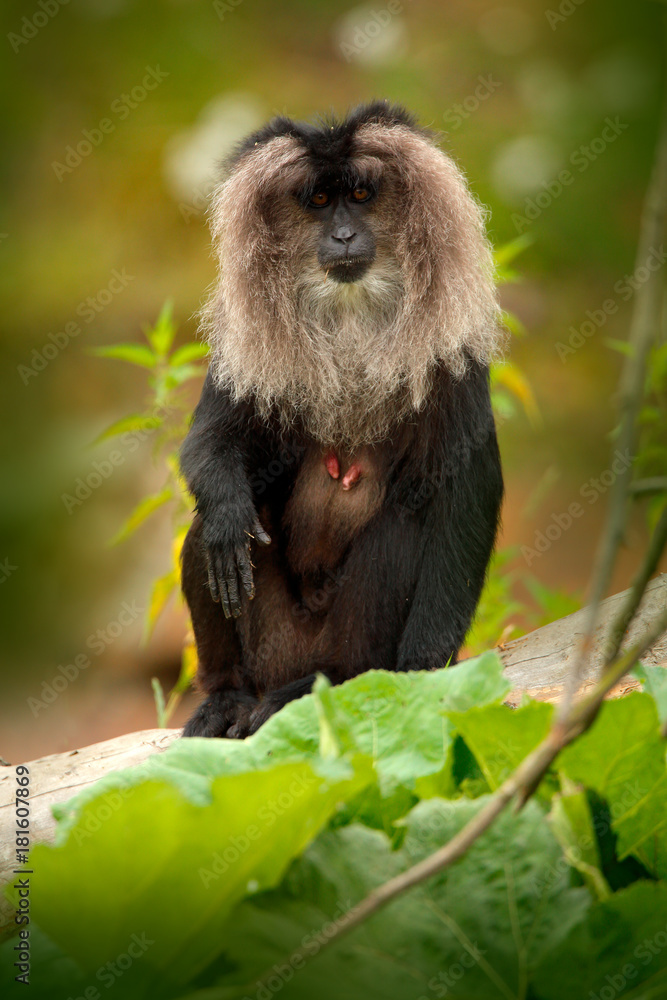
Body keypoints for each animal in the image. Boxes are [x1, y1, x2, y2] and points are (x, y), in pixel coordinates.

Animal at [180, 100, 504, 739]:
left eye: (359, 194)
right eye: (320, 202)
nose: (345, 235)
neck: (352, 318)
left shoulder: (458, 350)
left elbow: (466, 492)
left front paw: (424, 668)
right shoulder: (242, 345)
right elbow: (211, 440)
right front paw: (228, 510)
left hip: (345, 641)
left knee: (404, 530)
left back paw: (321, 685)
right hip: (273, 645)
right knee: (206, 535)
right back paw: (229, 695)